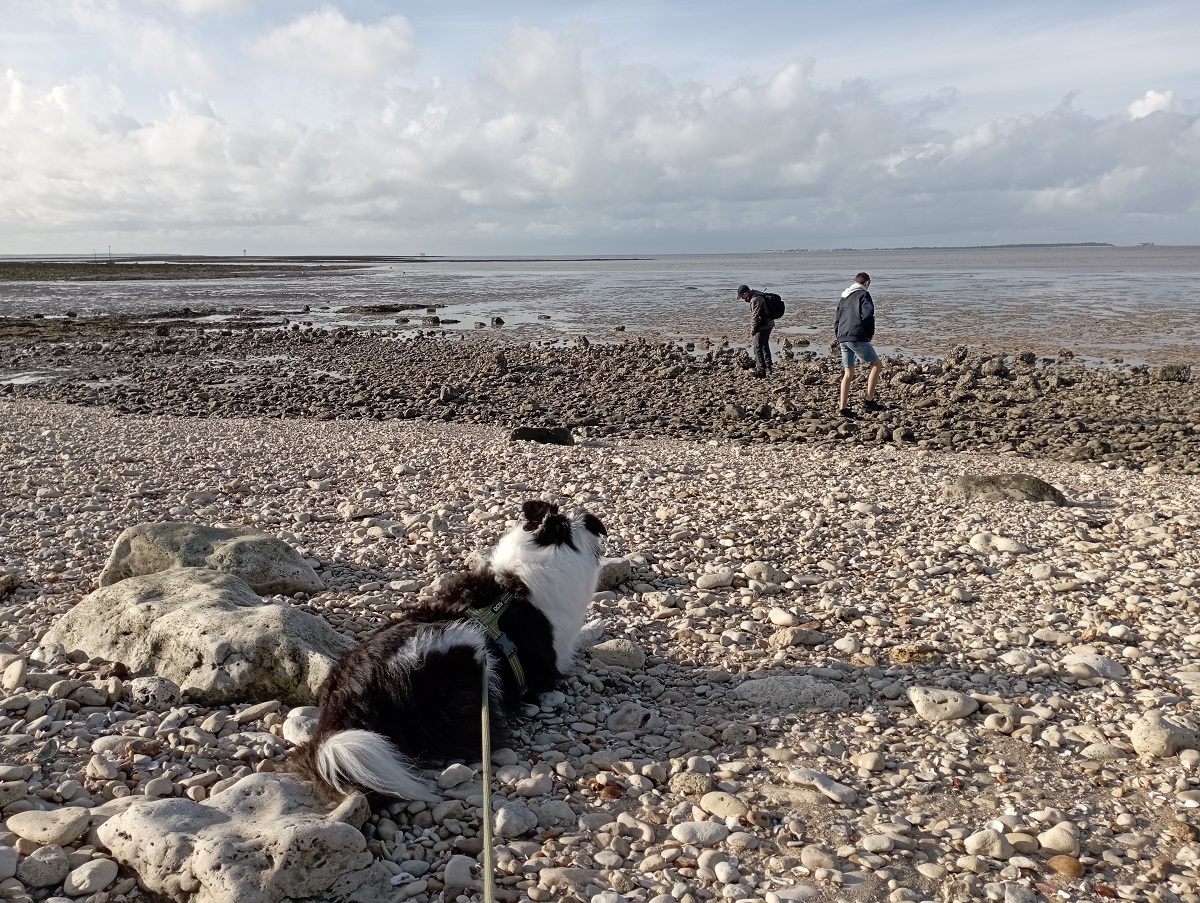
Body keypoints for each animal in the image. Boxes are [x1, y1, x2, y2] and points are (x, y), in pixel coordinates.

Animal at [295, 497, 604, 802]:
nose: (592, 522)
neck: (515, 583)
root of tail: (347, 705)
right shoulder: (555, 658)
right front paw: (596, 627)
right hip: (469, 652)